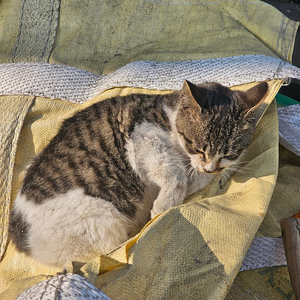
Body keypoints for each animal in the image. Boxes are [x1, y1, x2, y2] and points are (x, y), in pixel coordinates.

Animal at [8, 79, 268, 268]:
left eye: (230, 152)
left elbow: (195, 177)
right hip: (102, 221)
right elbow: (175, 175)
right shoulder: (143, 139)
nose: (211, 166)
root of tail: (19, 238)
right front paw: (164, 206)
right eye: (198, 147)